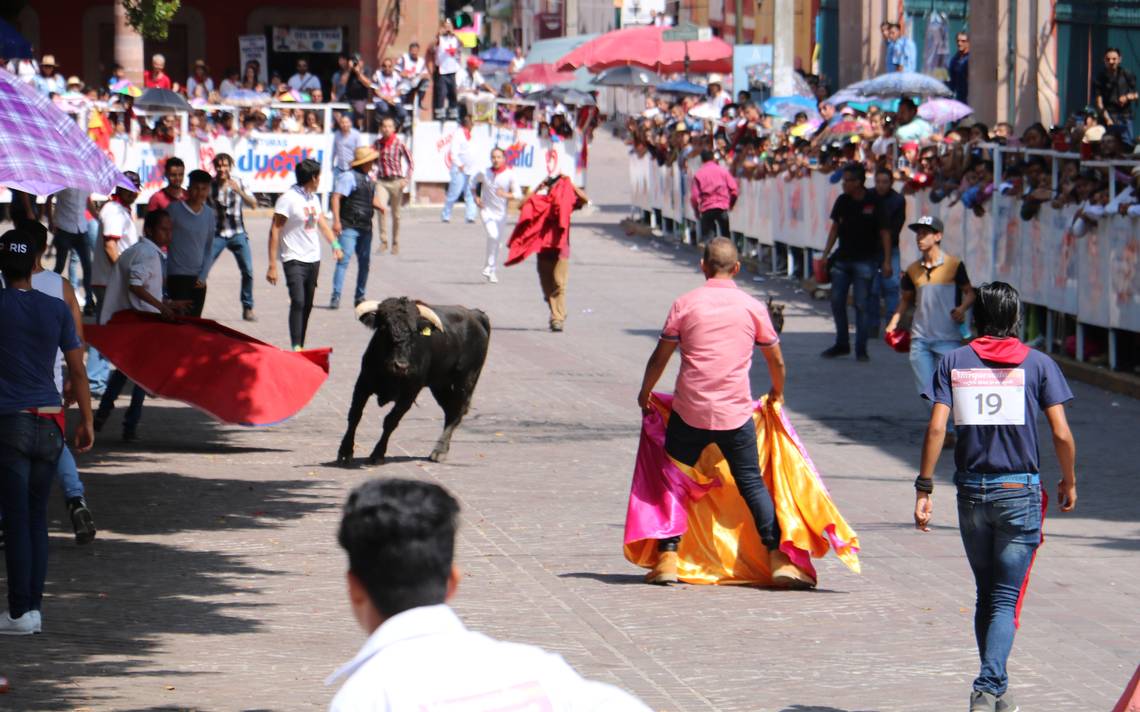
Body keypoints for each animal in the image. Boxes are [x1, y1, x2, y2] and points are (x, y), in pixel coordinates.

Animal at [332, 296, 485, 464]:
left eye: (414, 332)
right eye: (384, 327)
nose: (401, 365)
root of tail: (474, 314)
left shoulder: (410, 392)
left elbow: (391, 420)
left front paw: (377, 454)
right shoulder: (363, 383)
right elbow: (355, 415)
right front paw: (345, 452)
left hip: (465, 381)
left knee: (458, 412)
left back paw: (440, 451)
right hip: (440, 385)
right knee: (450, 411)